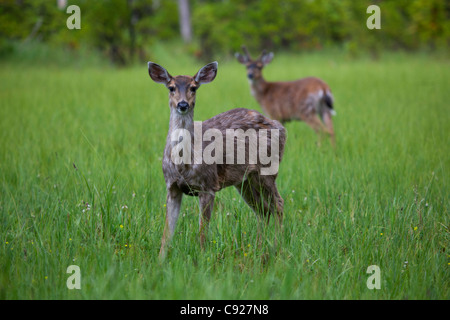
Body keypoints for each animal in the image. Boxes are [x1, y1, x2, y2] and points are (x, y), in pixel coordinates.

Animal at [149, 60, 288, 260]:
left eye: (194, 87)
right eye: (171, 87)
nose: (182, 104)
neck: (184, 164)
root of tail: (280, 126)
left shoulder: (208, 185)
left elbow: (202, 232)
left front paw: (200, 258)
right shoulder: (172, 186)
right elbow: (167, 232)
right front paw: (160, 261)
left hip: (267, 170)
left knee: (278, 204)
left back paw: (277, 246)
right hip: (244, 180)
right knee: (262, 210)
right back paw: (259, 247)